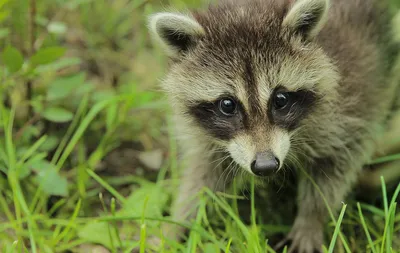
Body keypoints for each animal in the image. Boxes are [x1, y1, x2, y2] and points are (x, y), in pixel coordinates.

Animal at [148, 0, 400, 252]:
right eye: (227, 105)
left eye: (280, 99)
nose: (266, 165)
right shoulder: (208, 136)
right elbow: (202, 175)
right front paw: (179, 221)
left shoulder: (351, 103)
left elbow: (335, 166)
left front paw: (312, 217)